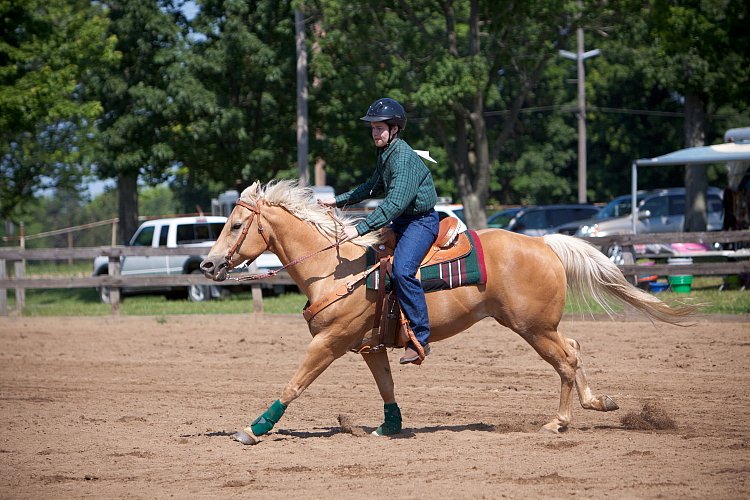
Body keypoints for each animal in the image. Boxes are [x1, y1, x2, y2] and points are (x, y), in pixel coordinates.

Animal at [198, 181, 692, 446]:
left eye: (236, 224)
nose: (209, 265)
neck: (338, 269)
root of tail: (545, 243)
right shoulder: (369, 347)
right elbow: (386, 385)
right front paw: (390, 427)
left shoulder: (330, 342)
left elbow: (294, 383)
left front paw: (253, 428)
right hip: (542, 326)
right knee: (574, 347)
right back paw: (598, 402)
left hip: (532, 327)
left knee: (566, 360)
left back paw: (559, 422)